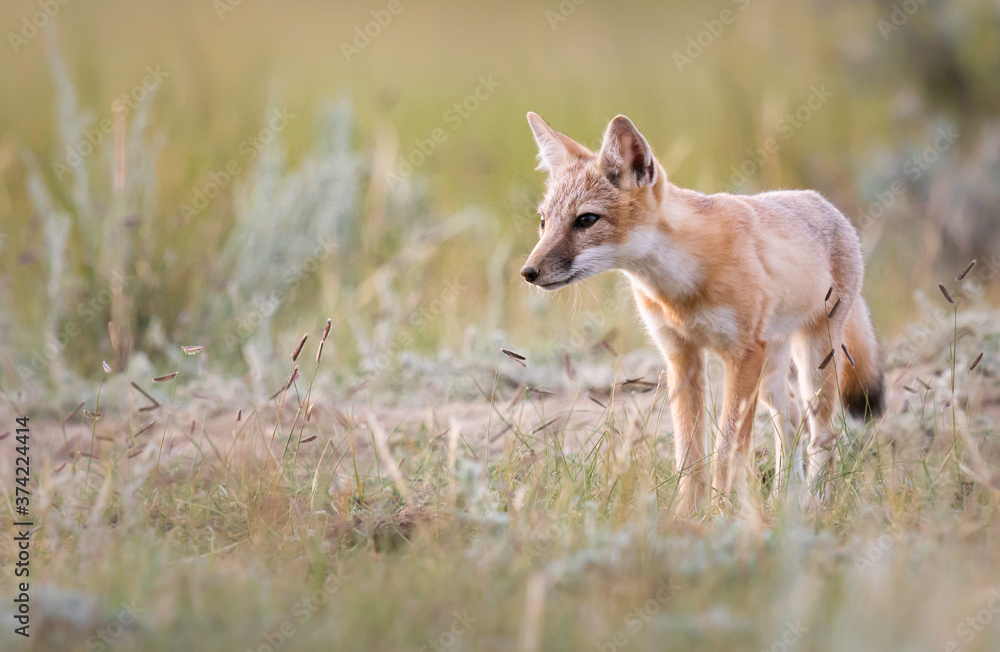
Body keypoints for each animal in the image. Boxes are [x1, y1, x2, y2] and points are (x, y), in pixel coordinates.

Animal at [520, 112, 880, 512]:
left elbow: (726, 451)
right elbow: (689, 456)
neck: (680, 288)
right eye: (543, 222)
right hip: (769, 373)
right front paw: (687, 516)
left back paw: (814, 503)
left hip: (811, 361)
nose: (528, 272)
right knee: (790, 420)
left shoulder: (742, 355)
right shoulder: (682, 357)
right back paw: (784, 502)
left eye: (585, 220)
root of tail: (822, 202)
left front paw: (721, 514)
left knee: (823, 435)